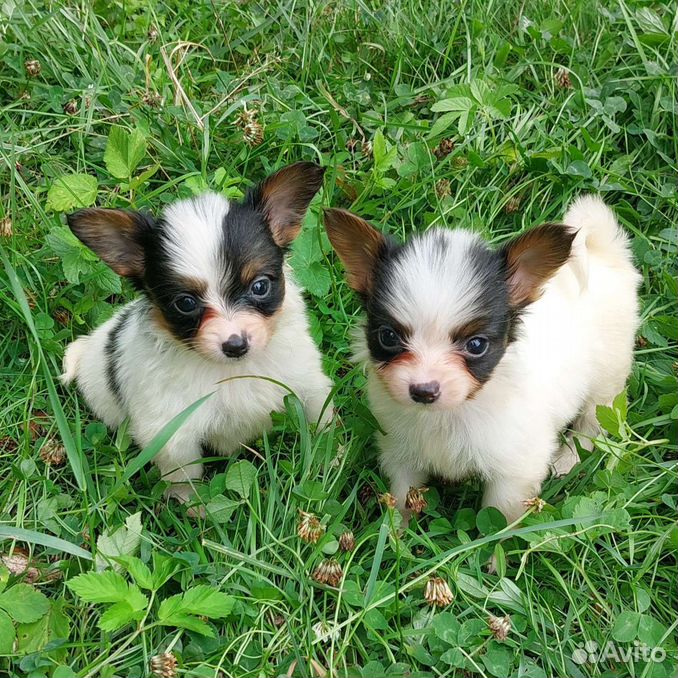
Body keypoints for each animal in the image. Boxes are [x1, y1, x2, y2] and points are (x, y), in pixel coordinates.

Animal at [62, 161, 334, 510]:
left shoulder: (306, 381)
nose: (235, 345)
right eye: (186, 303)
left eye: (260, 286)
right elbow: (185, 474)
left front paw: (330, 460)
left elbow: (319, 420)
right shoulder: (172, 430)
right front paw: (193, 507)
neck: (234, 371)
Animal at [326, 198, 640, 524]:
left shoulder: (514, 472)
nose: (423, 391)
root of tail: (605, 254)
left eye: (476, 345)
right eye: (388, 337)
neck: (452, 413)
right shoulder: (402, 452)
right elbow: (402, 500)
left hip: (607, 377)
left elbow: (498, 519)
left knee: (591, 423)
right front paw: (395, 532)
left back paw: (568, 460)